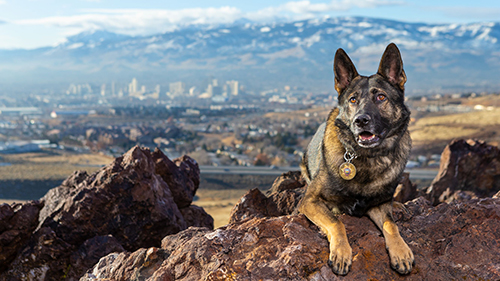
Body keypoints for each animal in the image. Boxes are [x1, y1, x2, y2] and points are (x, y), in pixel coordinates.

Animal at [298, 43, 412, 274]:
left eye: (381, 97)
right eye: (353, 100)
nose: (361, 120)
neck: (367, 157)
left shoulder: (379, 205)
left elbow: (391, 225)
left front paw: (401, 251)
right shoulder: (310, 200)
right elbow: (336, 222)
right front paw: (341, 252)